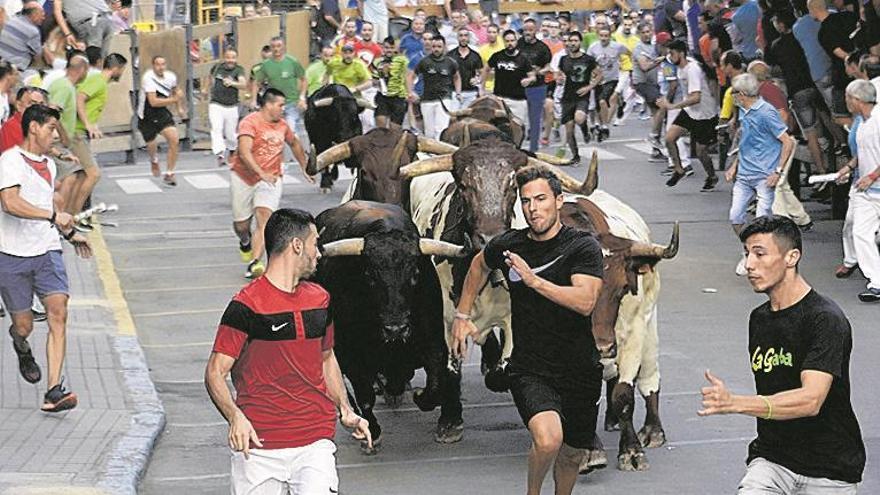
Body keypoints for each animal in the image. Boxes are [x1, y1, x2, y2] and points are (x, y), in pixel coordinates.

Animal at [314, 202, 470, 454]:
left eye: (415, 273)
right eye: (369, 275)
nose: (395, 328)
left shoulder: (434, 344)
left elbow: (436, 383)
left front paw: (422, 397)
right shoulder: (351, 356)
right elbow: (365, 395)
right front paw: (372, 433)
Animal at [402, 150, 676, 472]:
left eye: (621, 287)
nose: (603, 346)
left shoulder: (631, 333)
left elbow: (623, 394)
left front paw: (630, 449)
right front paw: (589, 450)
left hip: (649, 324)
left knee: (649, 375)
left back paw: (652, 429)